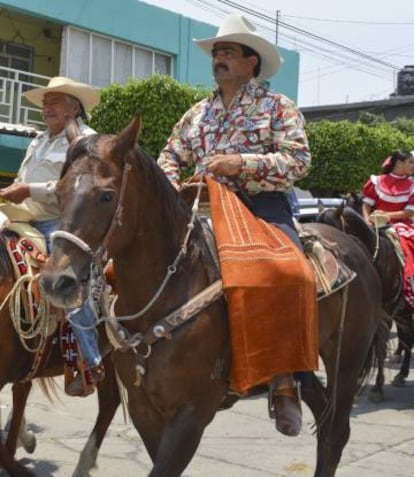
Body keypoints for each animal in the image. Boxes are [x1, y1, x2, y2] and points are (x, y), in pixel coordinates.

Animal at [41, 116, 384, 476]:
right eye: (59, 192)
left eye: (106, 195)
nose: (56, 281)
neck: (165, 297)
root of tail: (353, 246)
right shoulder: (144, 411)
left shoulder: (191, 415)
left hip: (347, 359)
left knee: (335, 432)